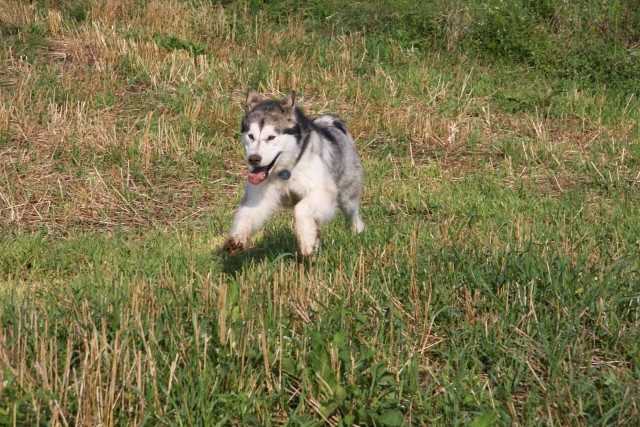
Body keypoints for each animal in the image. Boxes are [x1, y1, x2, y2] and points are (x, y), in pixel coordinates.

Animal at [222, 89, 364, 258]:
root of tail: (330, 122)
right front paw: (237, 239)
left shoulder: (323, 192)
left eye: (271, 137)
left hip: (347, 193)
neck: (286, 170)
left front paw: (306, 241)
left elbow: (301, 209)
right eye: (251, 136)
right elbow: (247, 216)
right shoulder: (257, 197)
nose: (254, 159)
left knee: (352, 213)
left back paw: (356, 231)